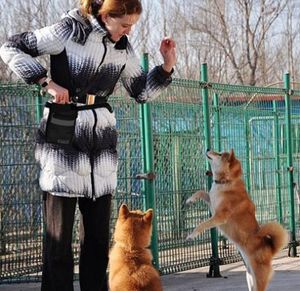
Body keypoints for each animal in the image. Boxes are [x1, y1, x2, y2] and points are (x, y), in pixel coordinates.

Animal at [186, 151, 288, 291]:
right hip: (249, 276)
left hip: (258, 278)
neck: (226, 182)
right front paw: (190, 199)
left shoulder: (220, 216)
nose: (208, 149)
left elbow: (202, 225)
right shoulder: (212, 203)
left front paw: (191, 235)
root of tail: (270, 249)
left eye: (219, 154)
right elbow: (201, 192)